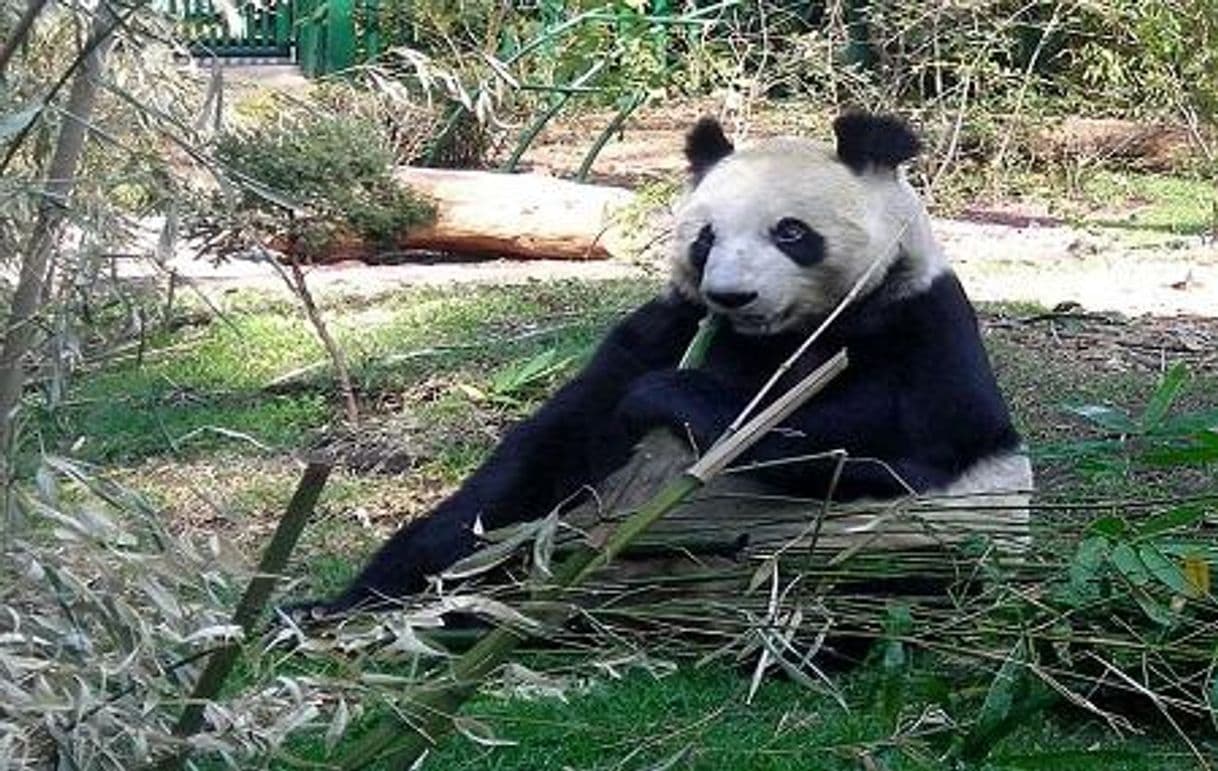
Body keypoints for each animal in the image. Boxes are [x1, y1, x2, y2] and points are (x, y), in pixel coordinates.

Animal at [311, 111, 1027, 613]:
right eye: (705, 238)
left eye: (791, 233)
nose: (732, 296)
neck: (774, 336)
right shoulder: (671, 324)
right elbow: (551, 453)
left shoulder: (920, 328)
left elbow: (879, 453)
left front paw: (668, 396)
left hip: (889, 558)